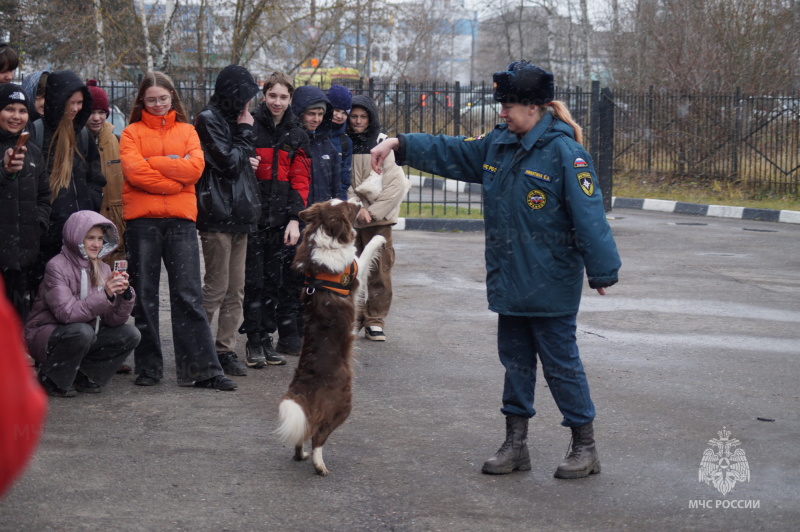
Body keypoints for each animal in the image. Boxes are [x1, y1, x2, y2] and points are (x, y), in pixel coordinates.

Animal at [276, 197, 386, 476]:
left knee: (303, 433)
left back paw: (301, 454)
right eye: (348, 206)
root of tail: (302, 387)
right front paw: (379, 238)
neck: (325, 237)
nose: (357, 198)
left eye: (342, 201)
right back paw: (319, 464)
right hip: (343, 405)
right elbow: (366, 250)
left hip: (308, 411)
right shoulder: (355, 273)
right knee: (318, 436)